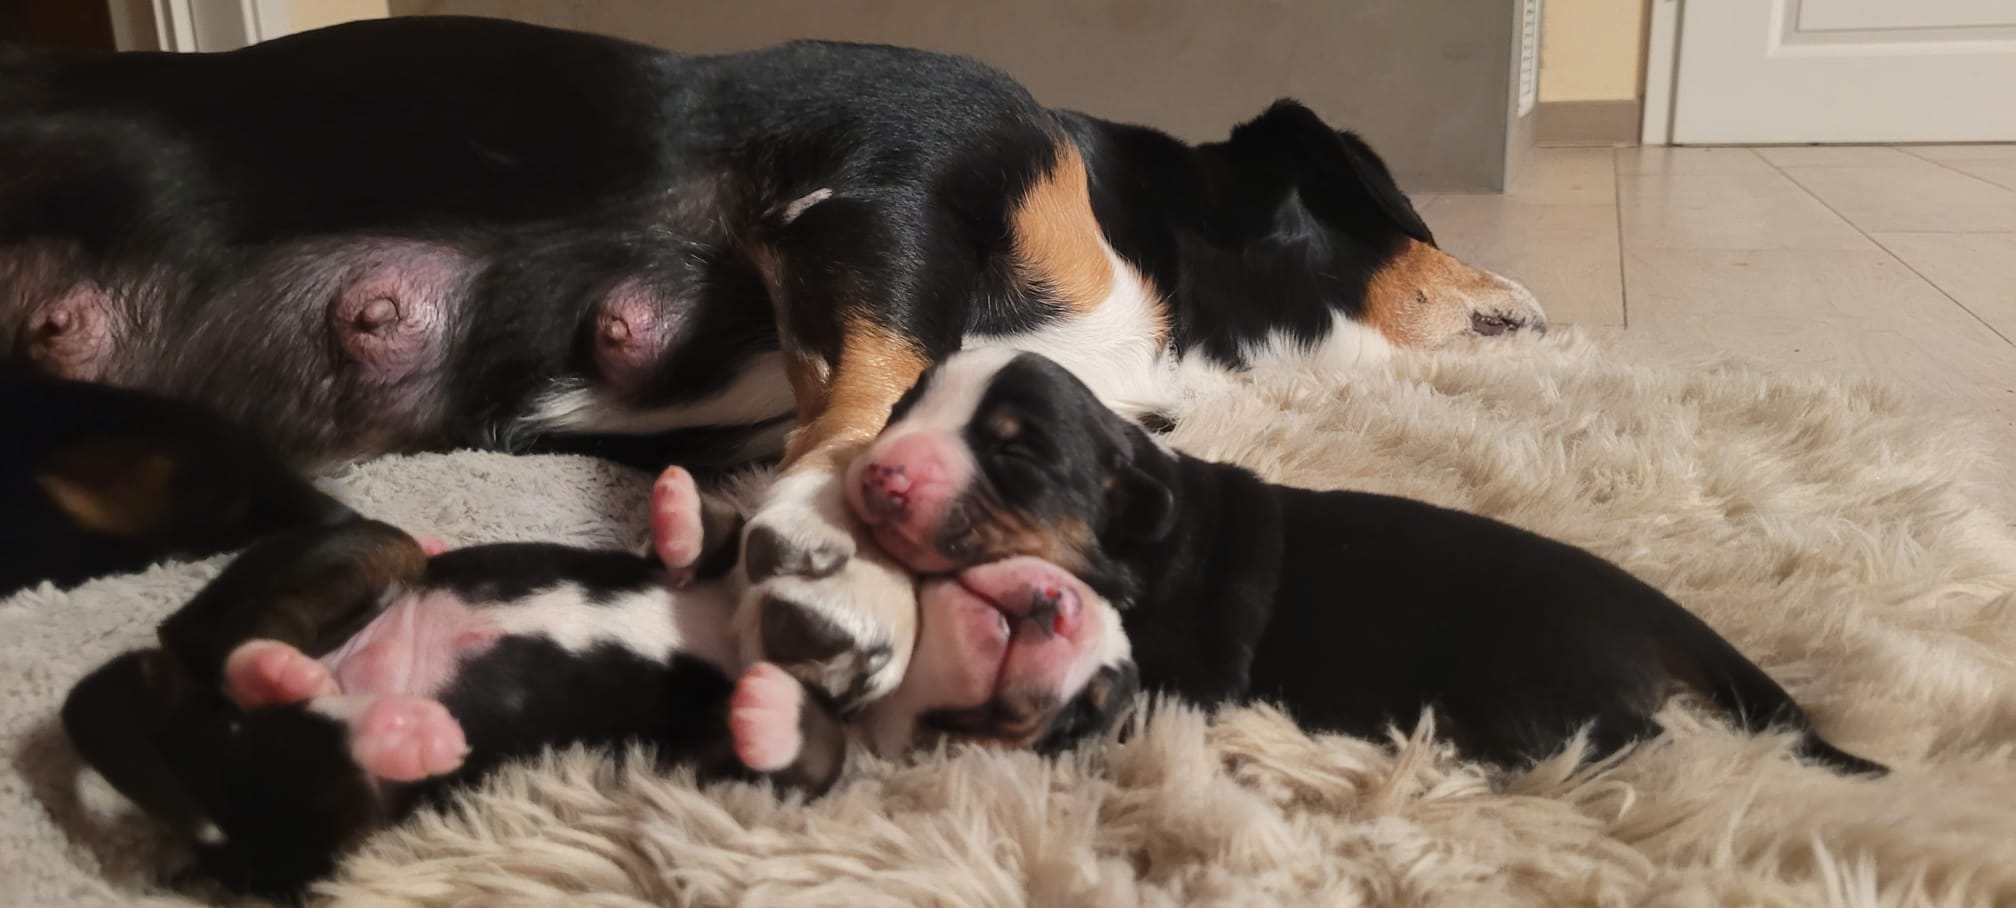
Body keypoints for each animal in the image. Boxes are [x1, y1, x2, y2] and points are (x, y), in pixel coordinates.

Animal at [3, 15, 1547, 709]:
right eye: (1415, 214)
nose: (1536, 299)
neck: (1161, 282)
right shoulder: (885, 186)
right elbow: (874, 393)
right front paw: (839, 557)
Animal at [62, 464, 1134, 897]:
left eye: (1101, 708)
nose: (1066, 611)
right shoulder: (718, 572)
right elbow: (708, 537)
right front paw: (678, 508)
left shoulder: (726, 759)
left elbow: (800, 756)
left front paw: (769, 706)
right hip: (357, 553)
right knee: (221, 633)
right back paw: (288, 664)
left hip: (320, 820)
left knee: (319, 777)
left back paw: (394, 728)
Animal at [841, 349, 1889, 775]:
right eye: (901, 410)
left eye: (1014, 453)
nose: (877, 474)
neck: (1146, 534)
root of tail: (1646, 600)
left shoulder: (1176, 676)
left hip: (1535, 700)